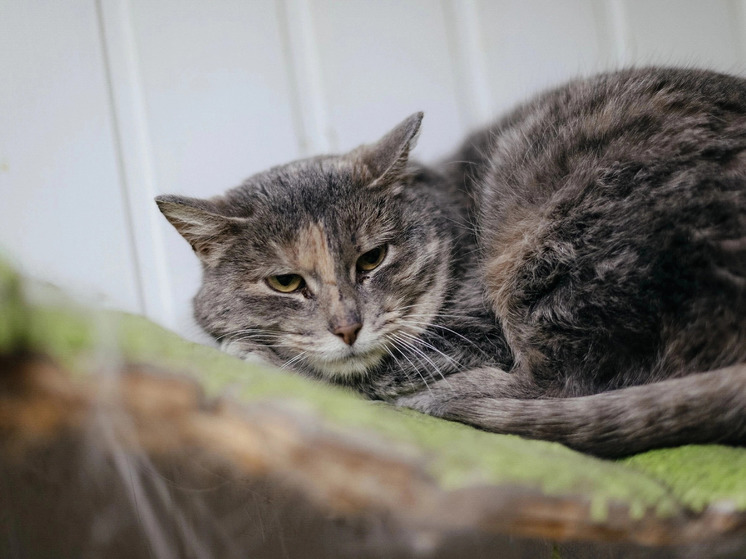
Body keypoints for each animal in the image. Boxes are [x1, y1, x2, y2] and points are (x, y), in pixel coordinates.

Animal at [154, 66, 744, 460]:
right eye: (284, 281)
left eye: (373, 258)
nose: (347, 327)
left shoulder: (473, 330)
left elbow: (368, 376)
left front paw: (257, 354)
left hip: (559, 252)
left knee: (560, 386)